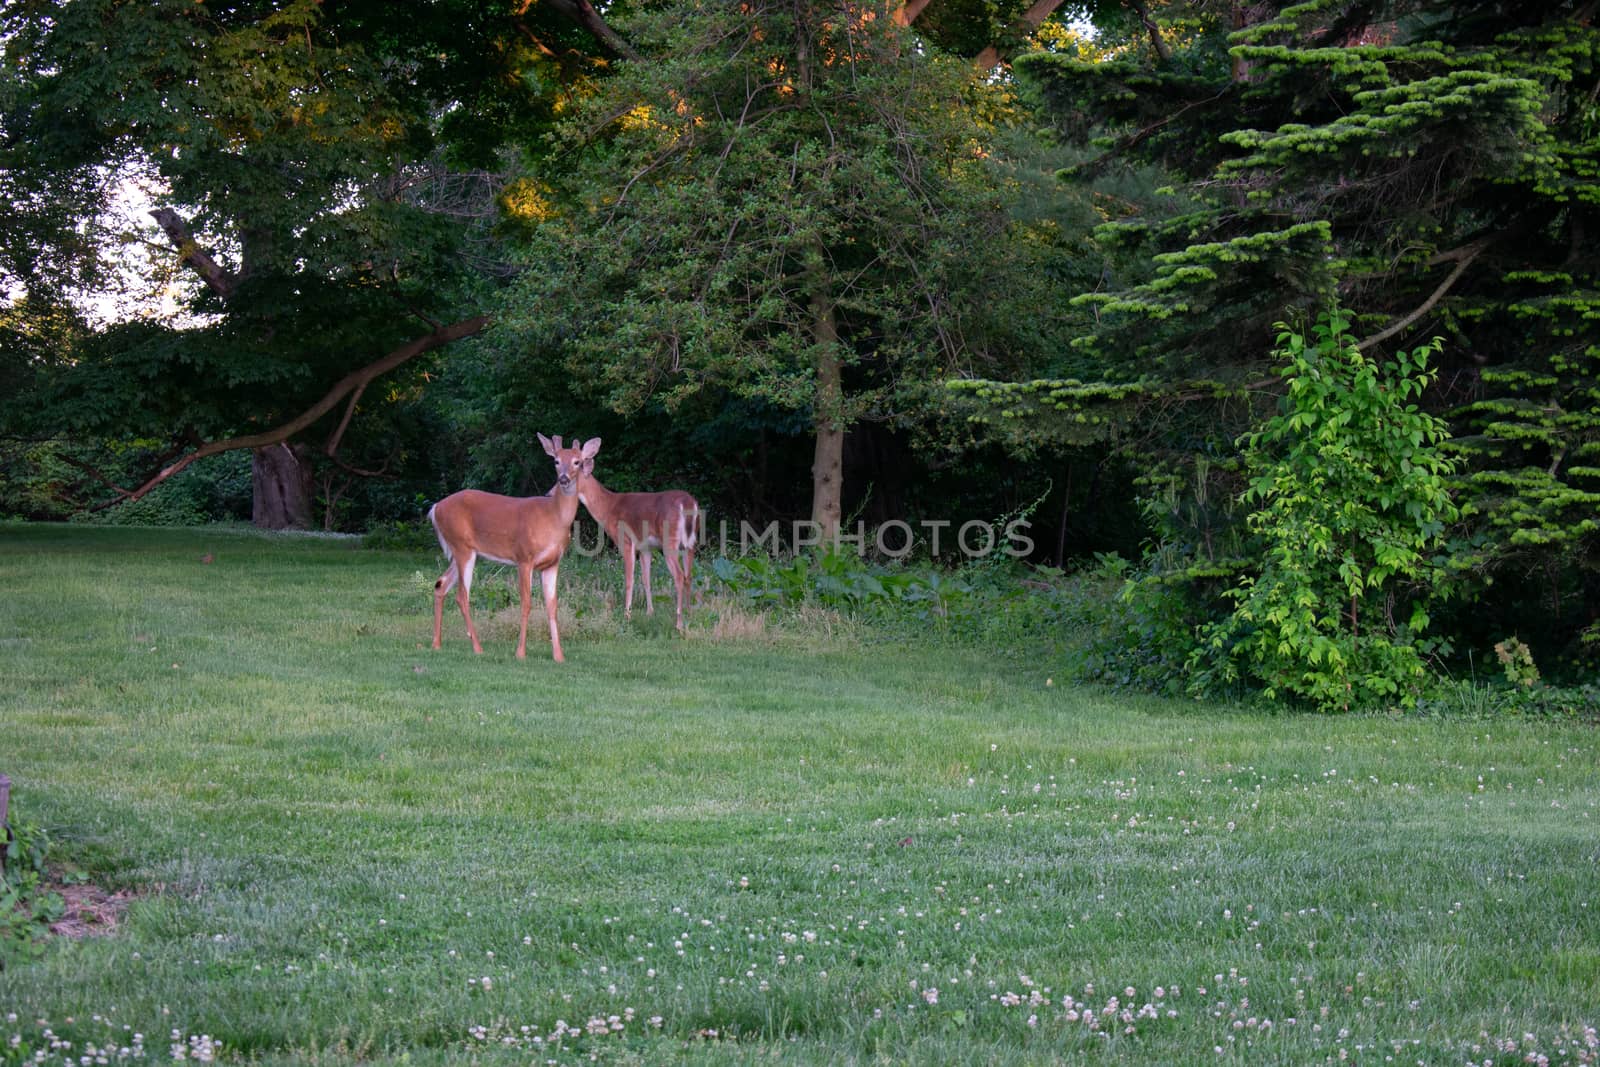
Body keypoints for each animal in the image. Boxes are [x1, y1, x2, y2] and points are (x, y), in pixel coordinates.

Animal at [425, 435, 601, 659]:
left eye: (577, 462)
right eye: (556, 461)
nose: (563, 479)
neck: (553, 518)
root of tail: (435, 508)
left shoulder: (552, 563)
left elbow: (552, 606)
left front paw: (559, 656)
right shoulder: (524, 557)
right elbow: (526, 603)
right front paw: (520, 652)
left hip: (463, 551)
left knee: (441, 584)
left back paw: (436, 644)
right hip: (462, 546)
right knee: (462, 596)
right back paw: (477, 648)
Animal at [579, 470, 697, 630]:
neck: (608, 507)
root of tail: (687, 502)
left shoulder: (626, 541)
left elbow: (630, 579)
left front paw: (627, 615)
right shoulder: (645, 548)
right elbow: (646, 578)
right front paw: (649, 613)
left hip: (670, 543)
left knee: (679, 576)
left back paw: (678, 623)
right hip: (690, 544)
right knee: (688, 575)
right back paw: (689, 614)